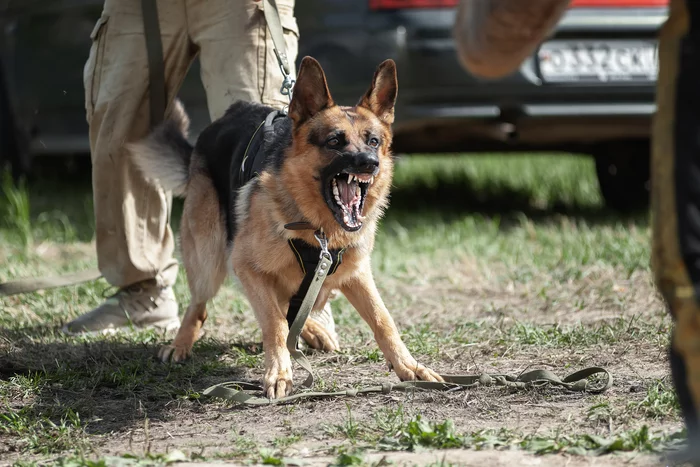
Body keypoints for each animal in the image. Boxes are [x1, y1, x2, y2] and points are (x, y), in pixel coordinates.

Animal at [129, 55, 440, 398]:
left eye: (373, 141)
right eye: (335, 141)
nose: (369, 163)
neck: (318, 231)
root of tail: (222, 120)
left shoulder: (356, 274)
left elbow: (384, 320)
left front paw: (409, 366)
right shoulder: (246, 266)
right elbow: (274, 323)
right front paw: (279, 372)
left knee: (293, 304)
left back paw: (312, 330)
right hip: (209, 254)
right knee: (202, 304)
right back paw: (181, 344)